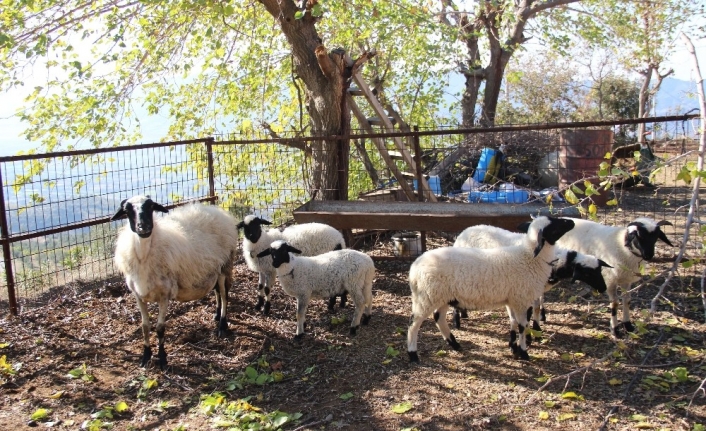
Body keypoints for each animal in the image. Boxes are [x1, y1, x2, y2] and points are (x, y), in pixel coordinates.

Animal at [111, 197, 238, 370]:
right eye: (127, 210)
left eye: (151, 207)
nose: (144, 227)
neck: (145, 254)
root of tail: (217, 211)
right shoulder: (138, 295)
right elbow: (145, 327)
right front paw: (145, 357)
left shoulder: (164, 294)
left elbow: (160, 328)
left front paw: (163, 359)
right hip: (214, 271)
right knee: (218, 291)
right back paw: (217, 315)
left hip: (225, 265)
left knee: (224, 295)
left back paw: (222, 325)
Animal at [404, 218, 576, 362]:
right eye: (553, 227)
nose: (571, 222)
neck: (529, 258)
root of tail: (414, 267)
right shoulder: (520, 299)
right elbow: (522, 326)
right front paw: (524, 352)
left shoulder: (512, 300)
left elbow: (513, 322)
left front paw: (514, 348)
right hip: (426, 296)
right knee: (414, 323)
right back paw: (413, 354)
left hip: (443, 296)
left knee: (438, 318)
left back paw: (455, 344)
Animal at [452, 224, 612, 336]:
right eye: (588, 274)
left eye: (599, 271)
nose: (603, 288)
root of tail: (463, 233)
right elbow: (531, 308)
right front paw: (534, 329)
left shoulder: (538, 287)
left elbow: (537, 305)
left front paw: (538, 322)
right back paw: (457, 321)